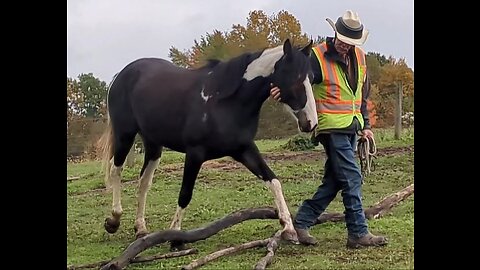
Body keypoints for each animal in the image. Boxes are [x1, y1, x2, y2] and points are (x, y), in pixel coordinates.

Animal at [99, 39, 316, 246]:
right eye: (296, 78)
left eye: (311, 78)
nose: (310, 123)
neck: (223, 101)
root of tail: (122, 74)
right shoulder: (195, 153)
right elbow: (185, 194)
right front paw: (176, 237)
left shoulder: (245, 150)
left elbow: (274, 181)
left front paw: (288, 228)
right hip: (125, 135)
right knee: (115, 170)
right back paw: (114, 220)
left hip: (153, 145)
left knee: (143, 181)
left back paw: (141, 228)